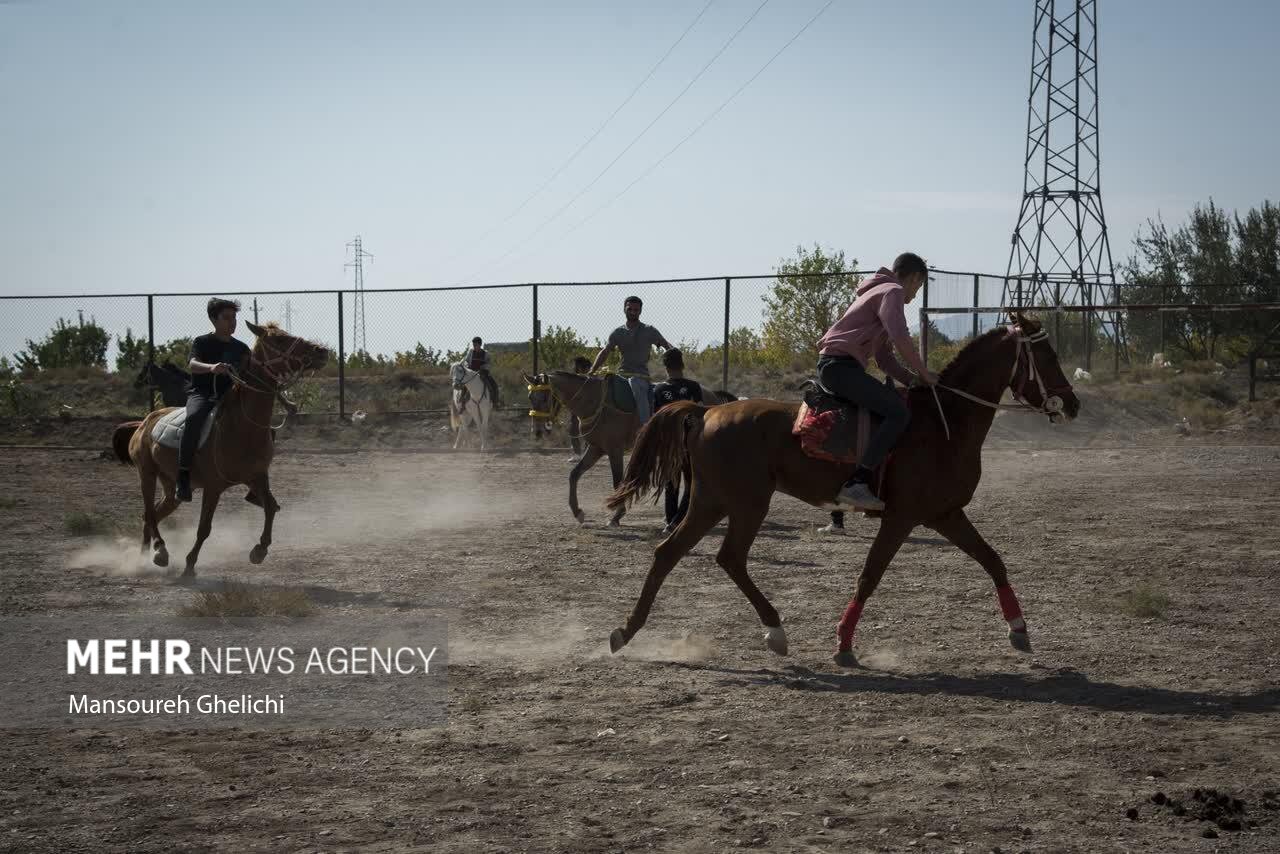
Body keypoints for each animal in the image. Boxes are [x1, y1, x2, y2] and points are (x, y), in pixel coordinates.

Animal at [113, 322, 330, 581]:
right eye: (278, 340)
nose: (321, 351)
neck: (241, 426)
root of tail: (144, 422)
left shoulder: (257, 477)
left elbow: (270, 507)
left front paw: (259, 550)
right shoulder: (213, 487)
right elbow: (204, 528)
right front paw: (189, 565)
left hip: (170, 486)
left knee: (152, 513)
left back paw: (145, 556)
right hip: (147, 473)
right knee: (149, 511)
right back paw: (160, 551)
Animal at [604, 316, 1075, 665]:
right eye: (1047, 355)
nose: (1072, 404)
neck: (944, 424)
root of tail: (706, 411)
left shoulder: (945, 514)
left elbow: (993, 561)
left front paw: (1019, 630)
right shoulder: (902, 518)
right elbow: (869, 577)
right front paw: (844, 644)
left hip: (712, 500)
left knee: (674, 554)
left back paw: (628, 631)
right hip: (745, 502)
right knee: (727, 557)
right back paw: (773, 631)